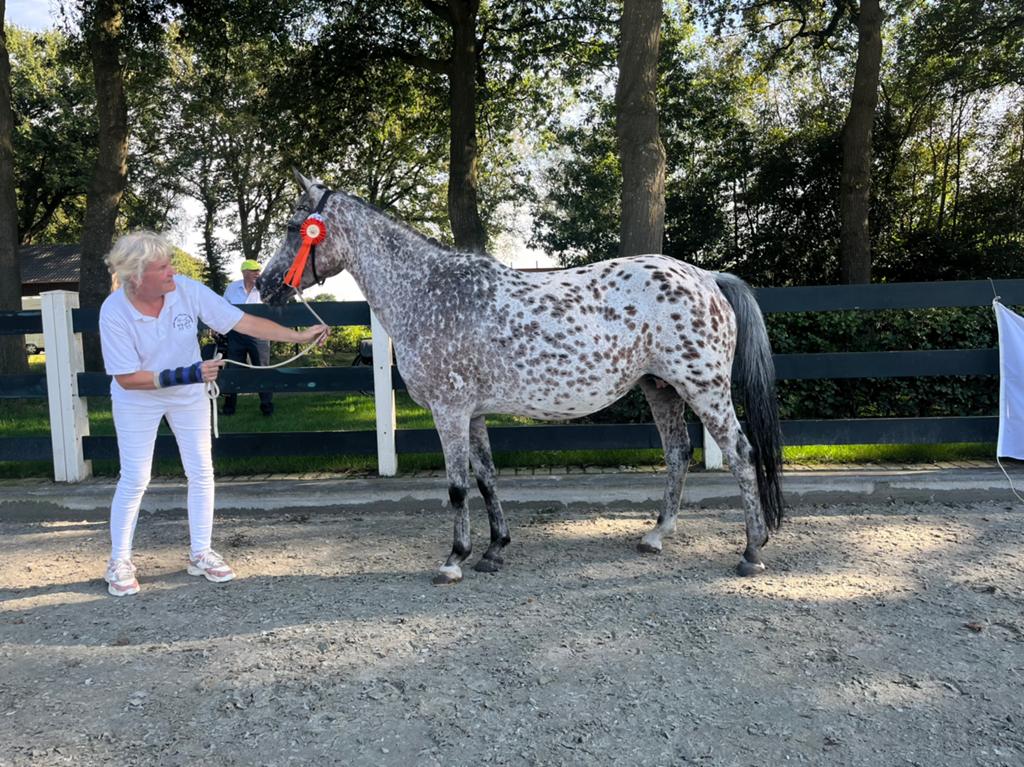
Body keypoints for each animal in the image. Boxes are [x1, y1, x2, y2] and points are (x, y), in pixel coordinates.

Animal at [257, 170, 784, 585]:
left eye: (294, 227)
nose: (265, 286)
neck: (428, 293)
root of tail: (707, 277)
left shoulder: (449, 411)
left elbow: (457, 487)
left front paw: (454, 559)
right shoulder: (472, 414)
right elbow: (487, 478)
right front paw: (494, 549)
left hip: (704, 389)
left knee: (740, 454)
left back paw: (751, 550)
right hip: (662, 389)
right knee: (677, 453)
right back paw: (656, 536)